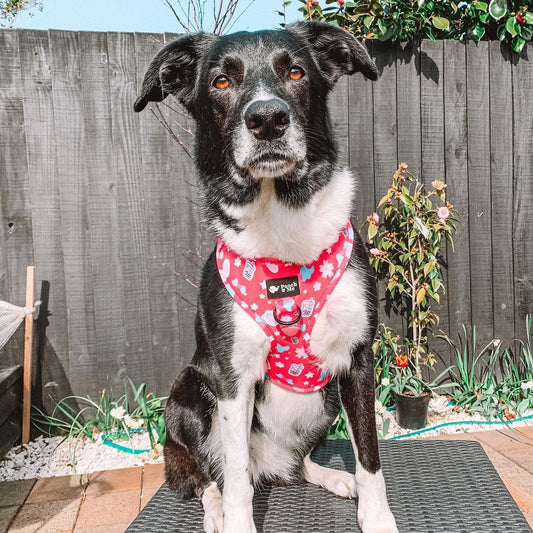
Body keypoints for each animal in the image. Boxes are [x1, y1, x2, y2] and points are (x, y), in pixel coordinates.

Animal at [134, 20, 394, 532]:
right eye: (220, 81)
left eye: (295, 72)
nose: (268, 119)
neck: (282, 234)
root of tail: (270, 463)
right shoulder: (232, 378)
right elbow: (234, 478)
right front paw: (235, 518)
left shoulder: (358, 362)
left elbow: (370, 458)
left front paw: (376, 518)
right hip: (187, 392)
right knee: (207, 475)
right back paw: (215, 509)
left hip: (325, 402)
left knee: (302, 463)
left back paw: (331, 477)